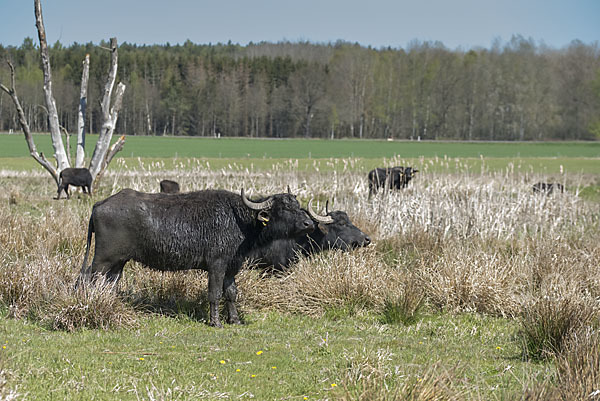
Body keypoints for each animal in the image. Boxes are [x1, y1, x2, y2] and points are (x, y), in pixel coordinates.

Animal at [76, 187, 314, 324]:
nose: (309, 223)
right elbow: (215, 294)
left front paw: (235, 320)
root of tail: (100, 205)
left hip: (119, 262)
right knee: (89, 279)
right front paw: (215, 322)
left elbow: (231, 293)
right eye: (283, 208)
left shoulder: (232, 267)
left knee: (110, 283)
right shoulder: (217, 265)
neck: (239, 220)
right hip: (103, 260)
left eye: (298, 205)